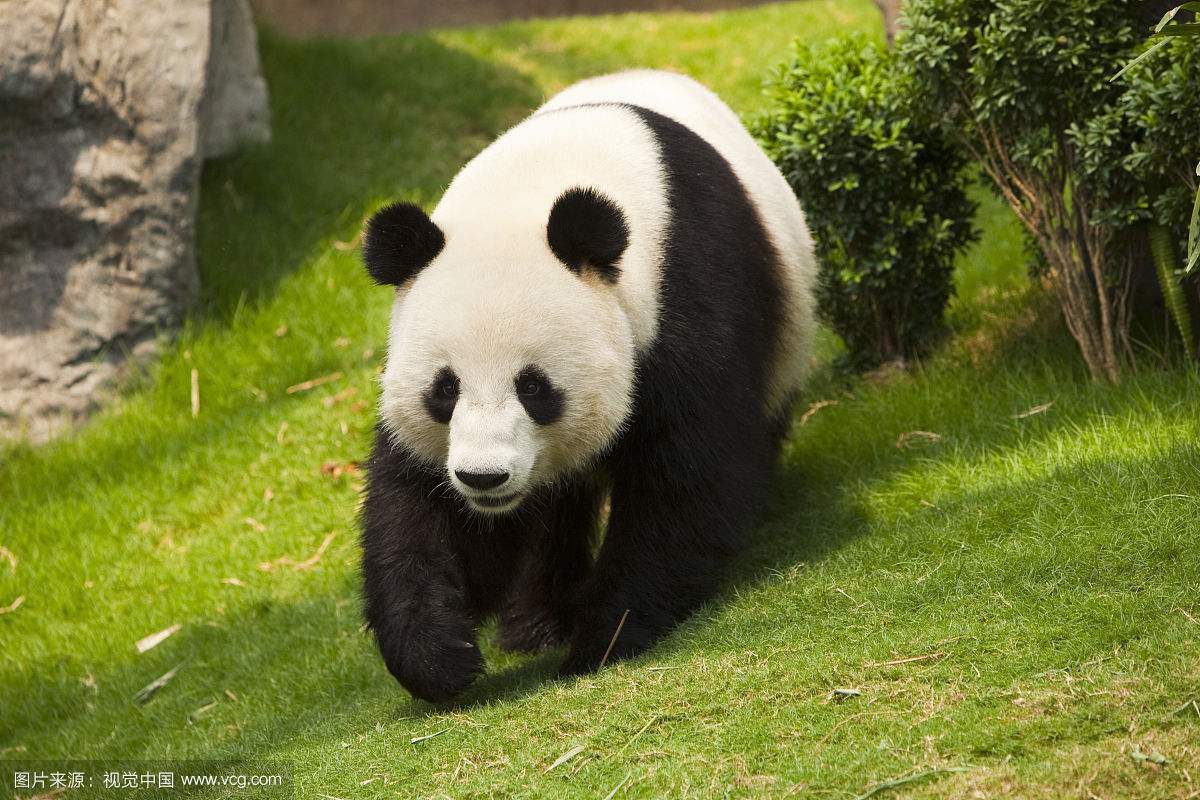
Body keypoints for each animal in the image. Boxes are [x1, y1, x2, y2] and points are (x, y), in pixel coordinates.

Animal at [360, 71, 820, 705]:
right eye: (444, 390)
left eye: (535, 388)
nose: (484, 477)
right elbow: (424, 509)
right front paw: (440, 656)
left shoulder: (689, 293)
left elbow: (685, 475)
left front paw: (605, 637)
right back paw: (534, 622)